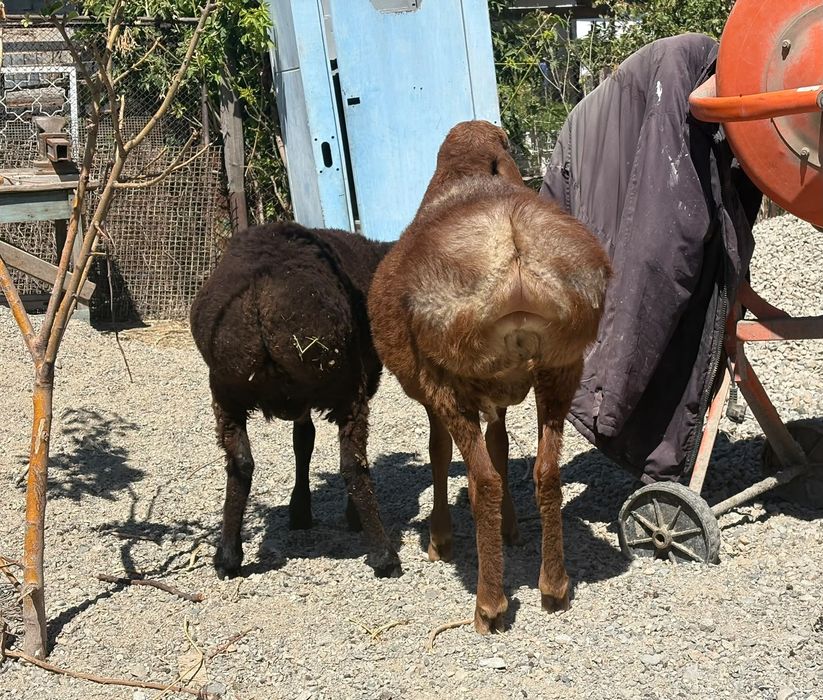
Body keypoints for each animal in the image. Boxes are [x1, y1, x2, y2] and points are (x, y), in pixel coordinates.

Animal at [190, 222, 401, 579]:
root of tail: (259, 288)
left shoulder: (299, 403)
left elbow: (302, 442)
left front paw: (299, 510)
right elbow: (313, 445)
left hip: (225, 388)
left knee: (240, 463)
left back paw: (228, 556)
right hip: (347, 383)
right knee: (352, 464)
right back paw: (384, 556)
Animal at [368, 120, 610, 632]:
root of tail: (513, 243)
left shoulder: (437, 388)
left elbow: (440, 453)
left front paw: (440, 538)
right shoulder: (498, 394)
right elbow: (500, 446)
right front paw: (513, 528)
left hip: (446, 379)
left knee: (484, 482)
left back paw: (490, 603)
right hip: (562, 368)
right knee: (546, 472)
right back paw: (553, 586)